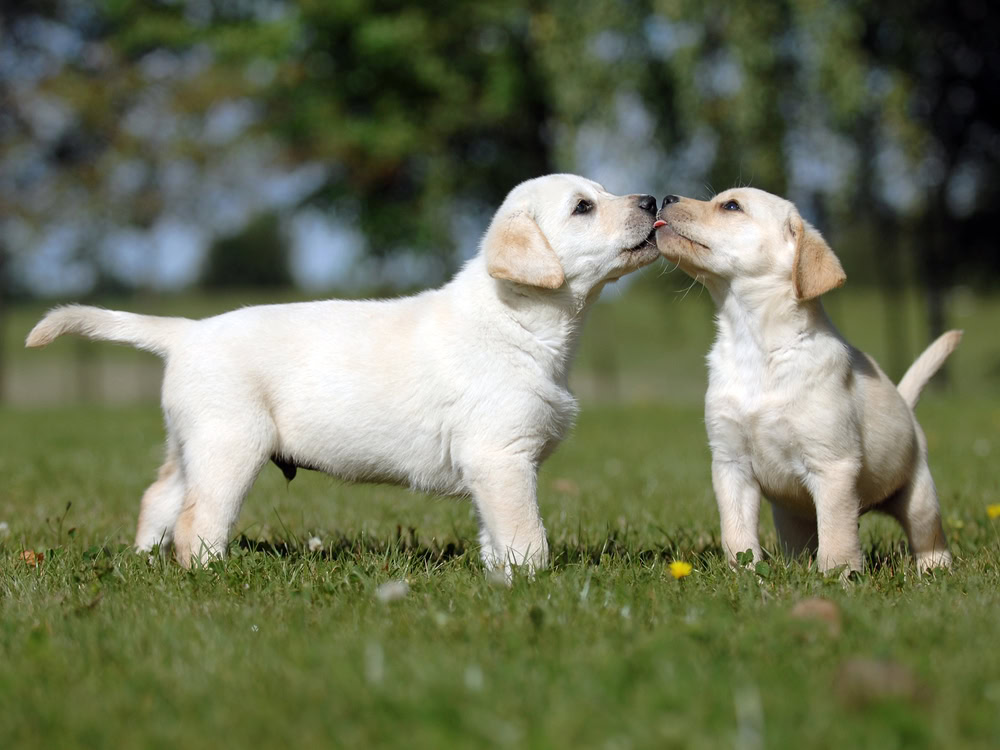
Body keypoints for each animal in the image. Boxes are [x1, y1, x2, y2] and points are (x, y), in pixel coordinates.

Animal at [25, 175, 664, 576]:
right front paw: (533, 582)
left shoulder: (493, 466)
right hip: (230, 443)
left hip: (190, 443)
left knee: (159, 496)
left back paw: (140, 560)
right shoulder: (501, 457)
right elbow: (525, 532)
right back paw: (210, 574)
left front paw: (498, 574)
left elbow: (495, 532)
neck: (520, 321)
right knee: (198, 519)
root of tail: (187, 331)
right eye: (583, 207)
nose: (654, 200)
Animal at [656, 189, 960, 576]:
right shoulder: (730, 463)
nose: (666, 197)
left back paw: (934, 570)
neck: (755, 343)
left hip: (918, 494)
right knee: (799, 543)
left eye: (731, 206)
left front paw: (838, 576)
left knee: (928, 537)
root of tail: (906, 405)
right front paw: (745, 573)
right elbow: (736, 531)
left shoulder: (832, 466)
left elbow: (836, 534)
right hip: (790, 517)